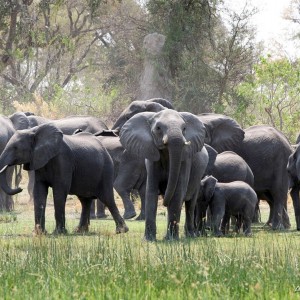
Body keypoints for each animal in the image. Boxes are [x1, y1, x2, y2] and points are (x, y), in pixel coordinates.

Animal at [119, 109, 209, 240]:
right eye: (158, 128)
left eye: (184, 128)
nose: (164, 202)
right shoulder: (151, 157)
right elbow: (151, 191)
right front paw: (148, 239)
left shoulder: (185, 160)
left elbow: (177, 193)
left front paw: (171, 239)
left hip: (198, 175)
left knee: (190, 204)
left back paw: (190, 236)